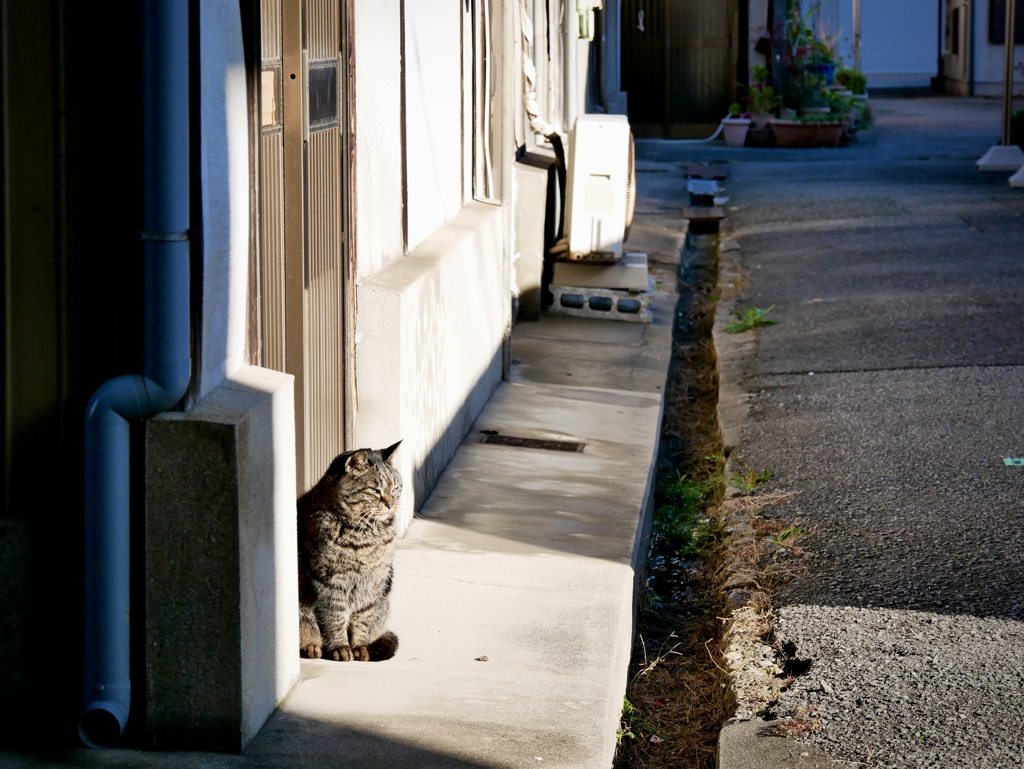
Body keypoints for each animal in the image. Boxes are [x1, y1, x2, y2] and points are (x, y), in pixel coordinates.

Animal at [296, 438, 399, 663]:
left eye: (396, 488)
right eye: (375, 490)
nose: (390, 503)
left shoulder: (373, 583)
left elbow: (363, 618)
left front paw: (360, 646)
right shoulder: (330, 582)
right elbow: (335, 617)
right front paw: (340, 646)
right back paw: (311, 646)